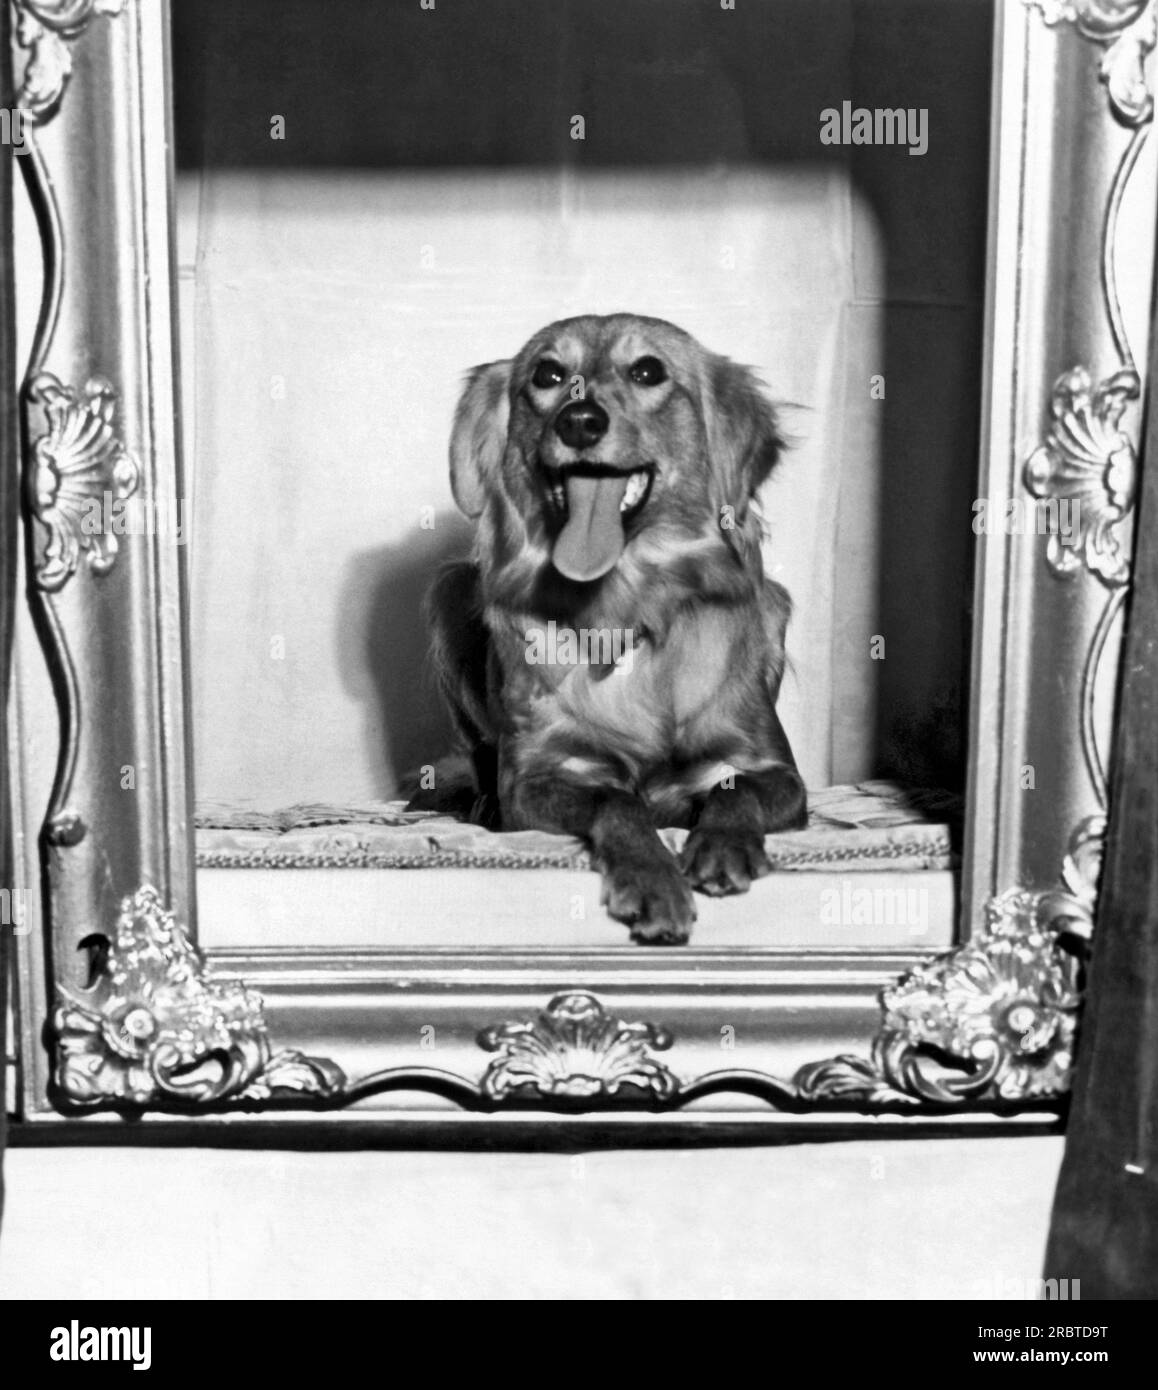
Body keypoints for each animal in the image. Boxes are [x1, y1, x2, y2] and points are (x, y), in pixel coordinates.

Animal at [408, 312, 806, 945]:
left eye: (648, 371)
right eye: (547, 374)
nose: (579, 420)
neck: (624, 606)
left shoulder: (777, 772)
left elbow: (738, 788)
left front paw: (722, 845)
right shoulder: (538, 780)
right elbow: (617, 802)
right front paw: (651, 878)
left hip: (776, 605)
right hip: (446, 594)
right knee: (480, 756)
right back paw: (482, 805)